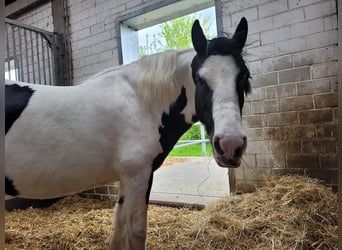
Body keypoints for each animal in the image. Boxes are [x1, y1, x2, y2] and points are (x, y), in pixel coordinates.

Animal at [5, 18, 251, 250]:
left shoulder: (126, 179)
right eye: (199, 79)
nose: (230, 145)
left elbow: (120, 228)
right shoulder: (137, 176)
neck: (140, 103)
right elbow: (136, 232)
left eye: (244, 77)